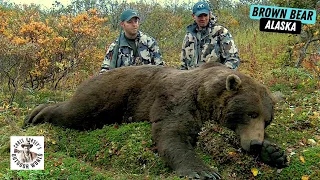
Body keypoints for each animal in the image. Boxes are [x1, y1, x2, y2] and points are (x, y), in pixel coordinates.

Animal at [23, 61, 288, 179]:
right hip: (108, 93)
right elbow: (172, 135)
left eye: (267, 121)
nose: (255, 143)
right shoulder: (178, 101)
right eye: (251, 113)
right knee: (75, 113)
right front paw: (203, 171)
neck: (205, 94)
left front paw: (275, 153)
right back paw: (35, 114)